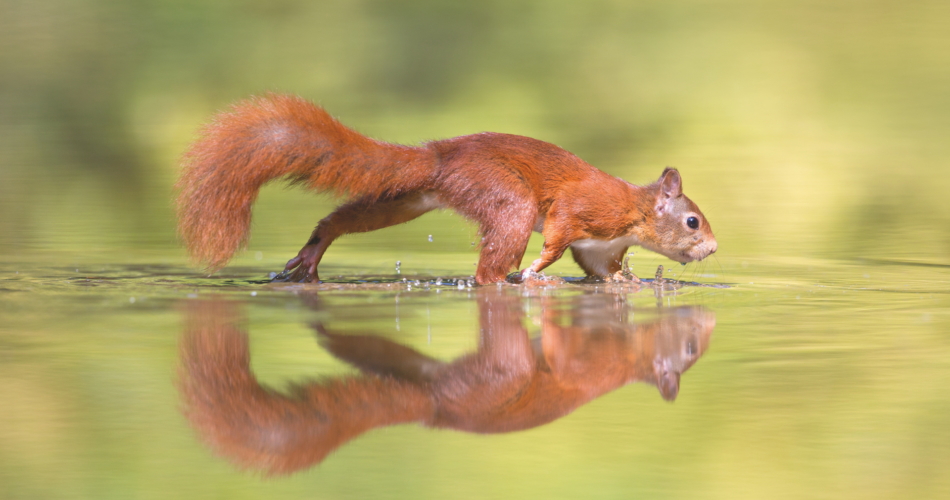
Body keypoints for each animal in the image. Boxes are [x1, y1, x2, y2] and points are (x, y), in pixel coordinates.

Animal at [175, 93, 716, 282]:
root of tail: (441, 156)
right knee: (488, 270)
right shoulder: (585, 209)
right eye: (692, 221)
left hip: (408, 200)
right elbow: (559, 235)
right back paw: (516, 279)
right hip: (507, 198)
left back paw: (314, 248)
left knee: (348, 217)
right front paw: (538, 268)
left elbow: (601, 269)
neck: (634, 213)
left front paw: (627, 282)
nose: (712, 249)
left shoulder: (601, 247)